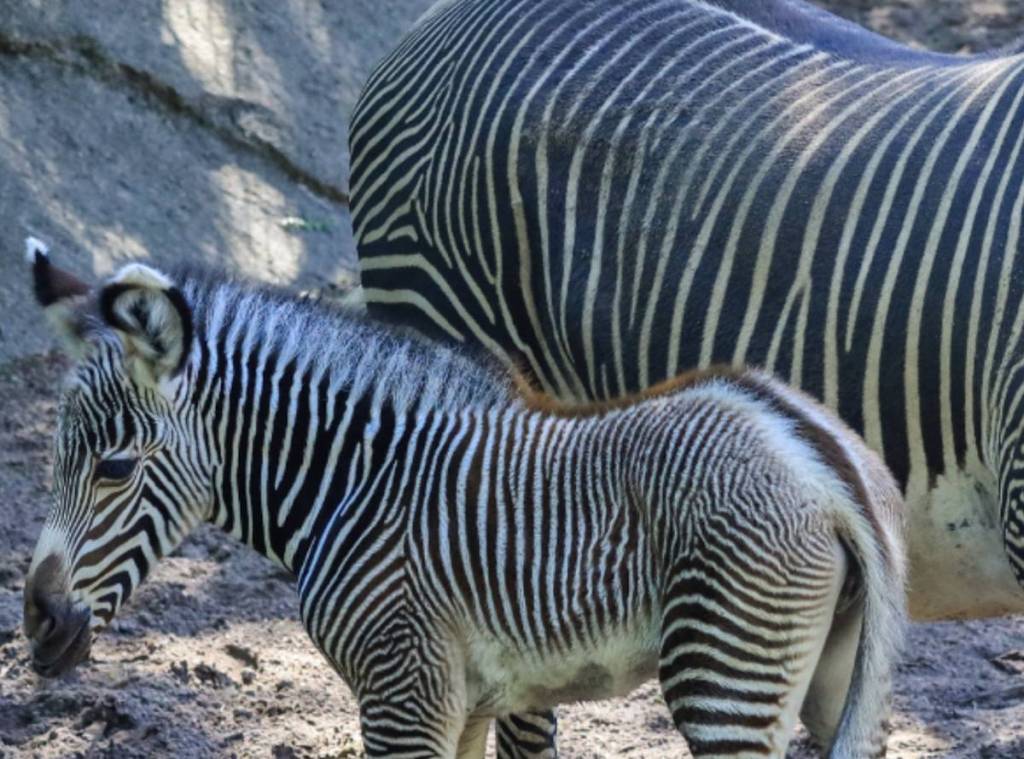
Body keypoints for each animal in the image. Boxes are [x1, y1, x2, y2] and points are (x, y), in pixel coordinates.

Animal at [22, 242, 906, 758]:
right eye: (53, 459)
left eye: (114, 466)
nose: (36, 626)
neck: (357, 480)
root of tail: (814, 458)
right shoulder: (470, 700)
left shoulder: (402, 692)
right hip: (833, 680)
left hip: (726, 677)